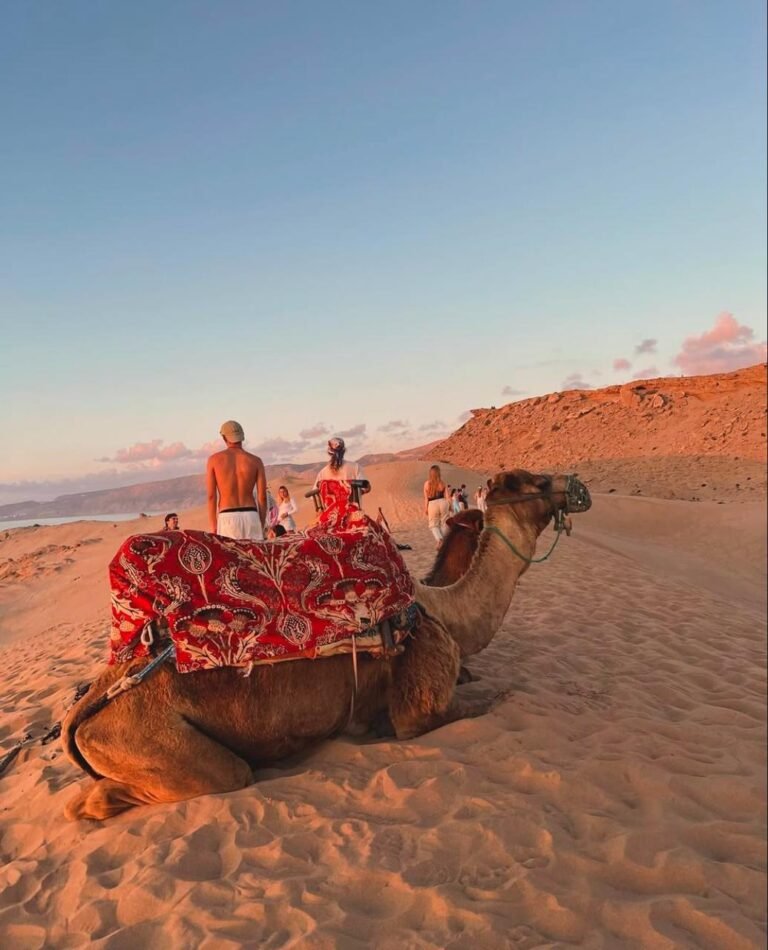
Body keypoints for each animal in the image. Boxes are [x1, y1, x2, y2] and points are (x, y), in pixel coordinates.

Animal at [63, 469, 590, 820]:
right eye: (536, 482)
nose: (576, 485)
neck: (446, 611)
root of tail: (86, 707)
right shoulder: (420, 705)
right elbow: (484, 703)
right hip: (142, 737)